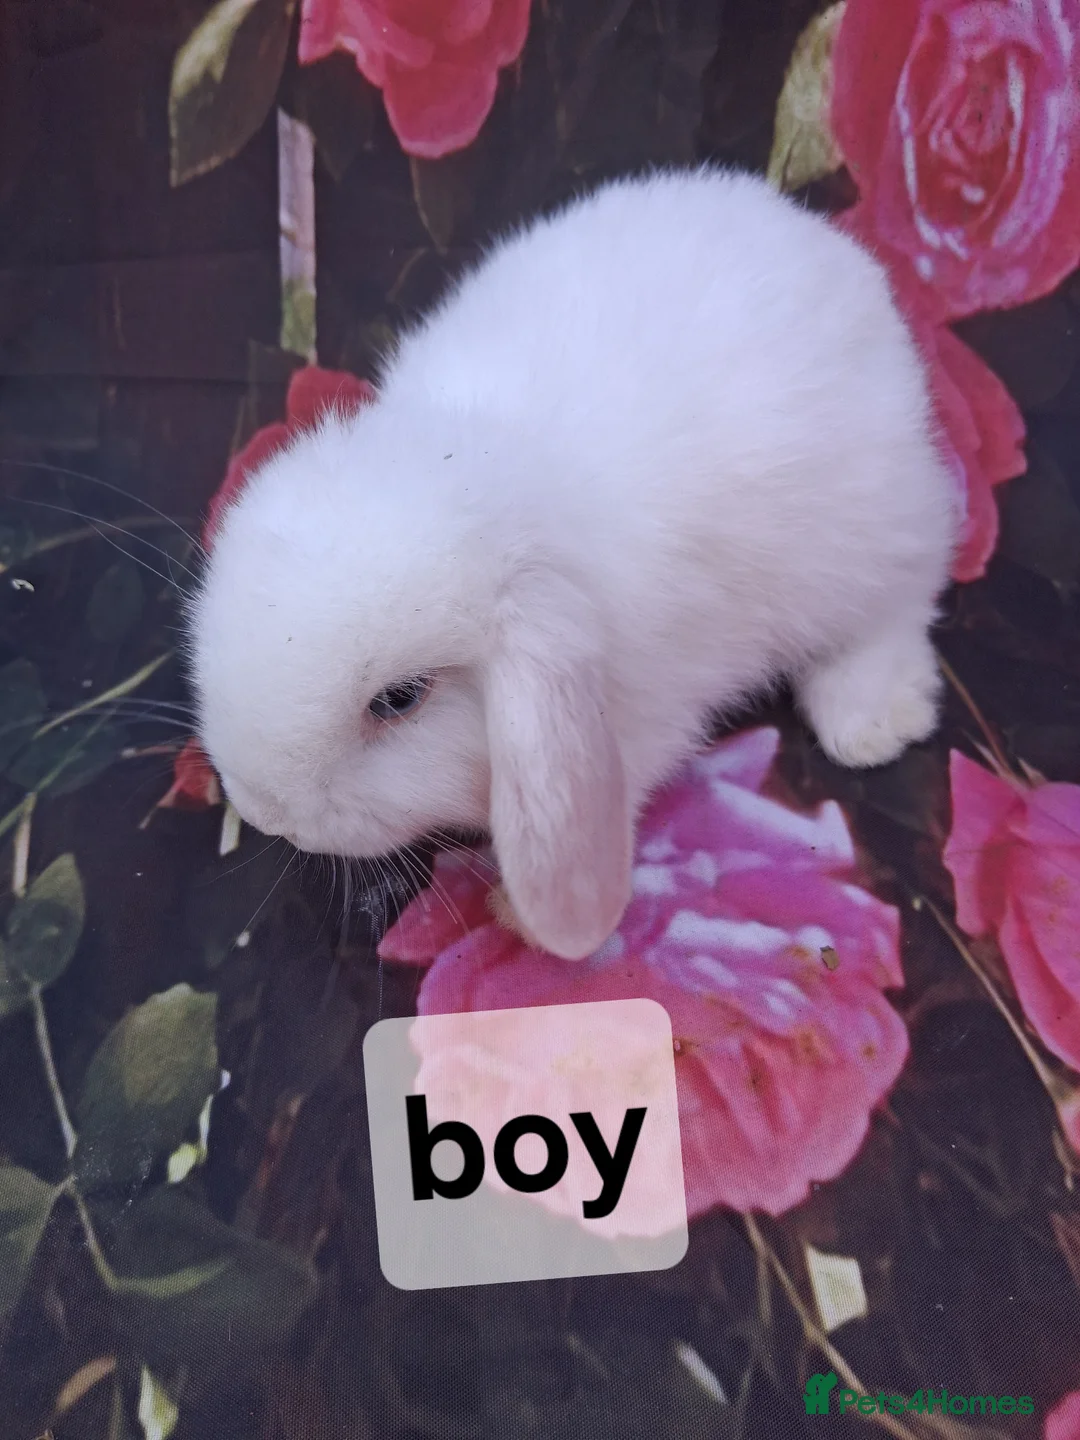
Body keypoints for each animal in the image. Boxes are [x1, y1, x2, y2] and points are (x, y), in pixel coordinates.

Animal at [188, 167, 958, 962]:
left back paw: (869, 721)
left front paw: (516, 916)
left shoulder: (643, 720)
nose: (264, 808)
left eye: (400, 699)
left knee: (900, 604)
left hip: (878, 532)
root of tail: (835, 255)